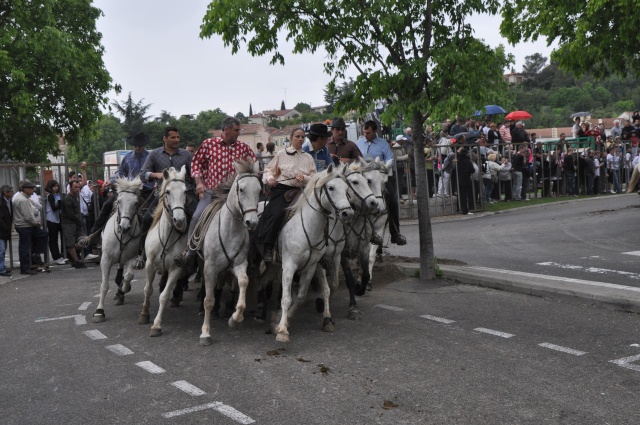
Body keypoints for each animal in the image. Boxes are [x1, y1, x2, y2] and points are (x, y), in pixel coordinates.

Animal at [92, 178, 143, 322]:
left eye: (135, 203)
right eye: (119, 201)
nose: (124, 226)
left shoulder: (131, 257)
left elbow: (129, 276)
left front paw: (124, 288)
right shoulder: (105, 260)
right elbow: (104, 286)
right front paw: (99, 312)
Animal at [139, 164, 189, 332]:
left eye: (185, 191)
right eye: (168, 191)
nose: (179, 220)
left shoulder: (176, 268)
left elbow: (164, 295)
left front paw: (156, 324)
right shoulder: (149, 265)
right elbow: (148, 289)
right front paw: (144, 313)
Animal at [199, 160, 262, 344]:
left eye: (259, 190)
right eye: (241, 189)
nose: (251, 222)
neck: (230, 230)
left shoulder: (239, 264)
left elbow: (243, 282)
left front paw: (235, 319)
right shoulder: (209, 268)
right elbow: (208, 300)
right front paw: (205, 333)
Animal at [276, 164, 356, 342]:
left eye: (347, 188)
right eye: (331, 187)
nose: (348, 213)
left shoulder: (314, 265)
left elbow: (302, 295)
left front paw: (289, 318)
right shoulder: (289, 265)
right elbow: (286, 298)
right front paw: (282, 330)